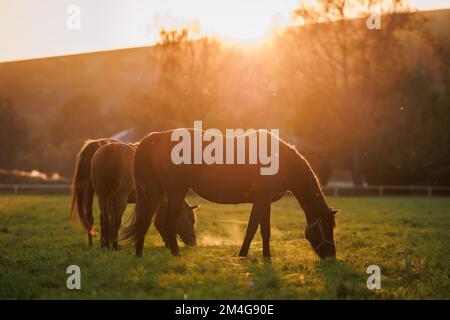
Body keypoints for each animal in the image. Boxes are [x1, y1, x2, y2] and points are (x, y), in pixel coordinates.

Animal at [123, 130, 338, 260]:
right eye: (327, 227)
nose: (331, 255)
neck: (282, 161)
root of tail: (158, 136)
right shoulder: (261, 198)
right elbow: (252, 228)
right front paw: (242, 255)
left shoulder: (265, 200)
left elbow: (264, 230)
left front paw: (266, 257)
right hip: (175, 192)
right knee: (168, 224)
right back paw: (176, 255)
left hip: (157, 192)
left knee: (146, 220)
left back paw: (139, 253)